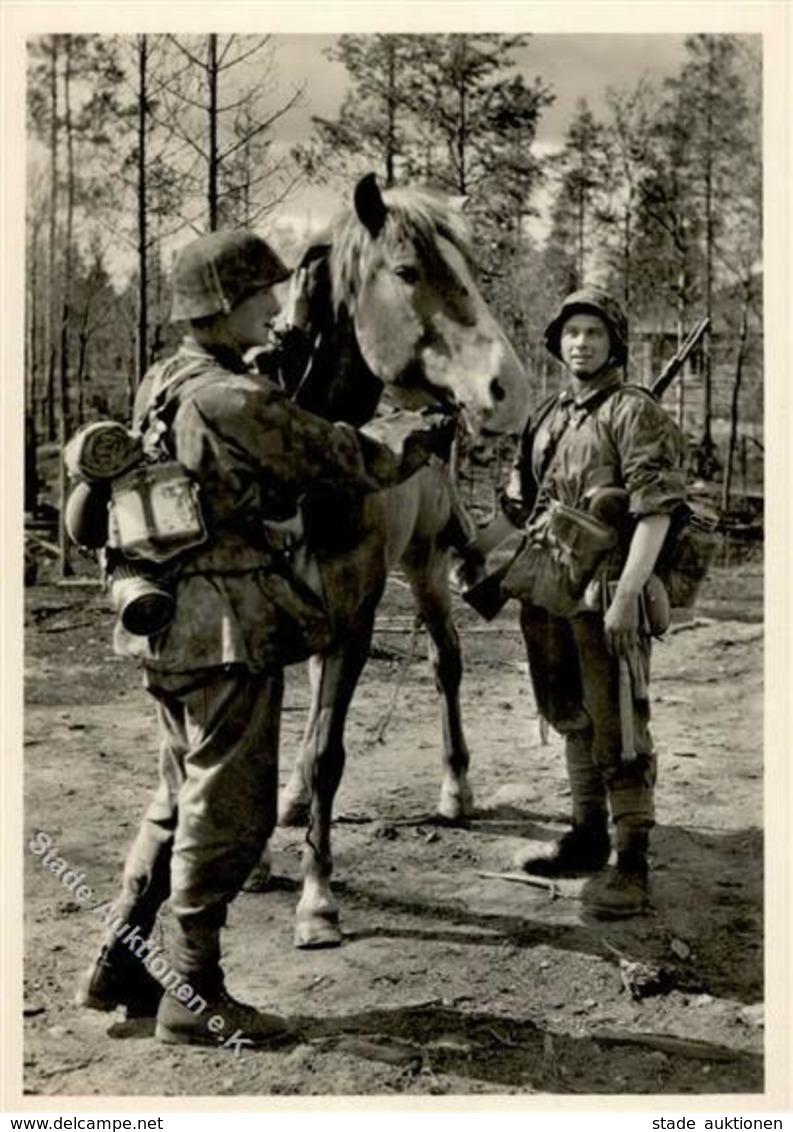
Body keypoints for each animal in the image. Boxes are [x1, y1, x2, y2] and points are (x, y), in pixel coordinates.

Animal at [264, 174, 524, 946]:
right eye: (407, 272)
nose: (507, 386)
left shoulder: (356, 616)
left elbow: (329, 754)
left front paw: (317, 898)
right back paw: (291, 802)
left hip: (428, 574)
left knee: (445, 663)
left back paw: (455, 789)